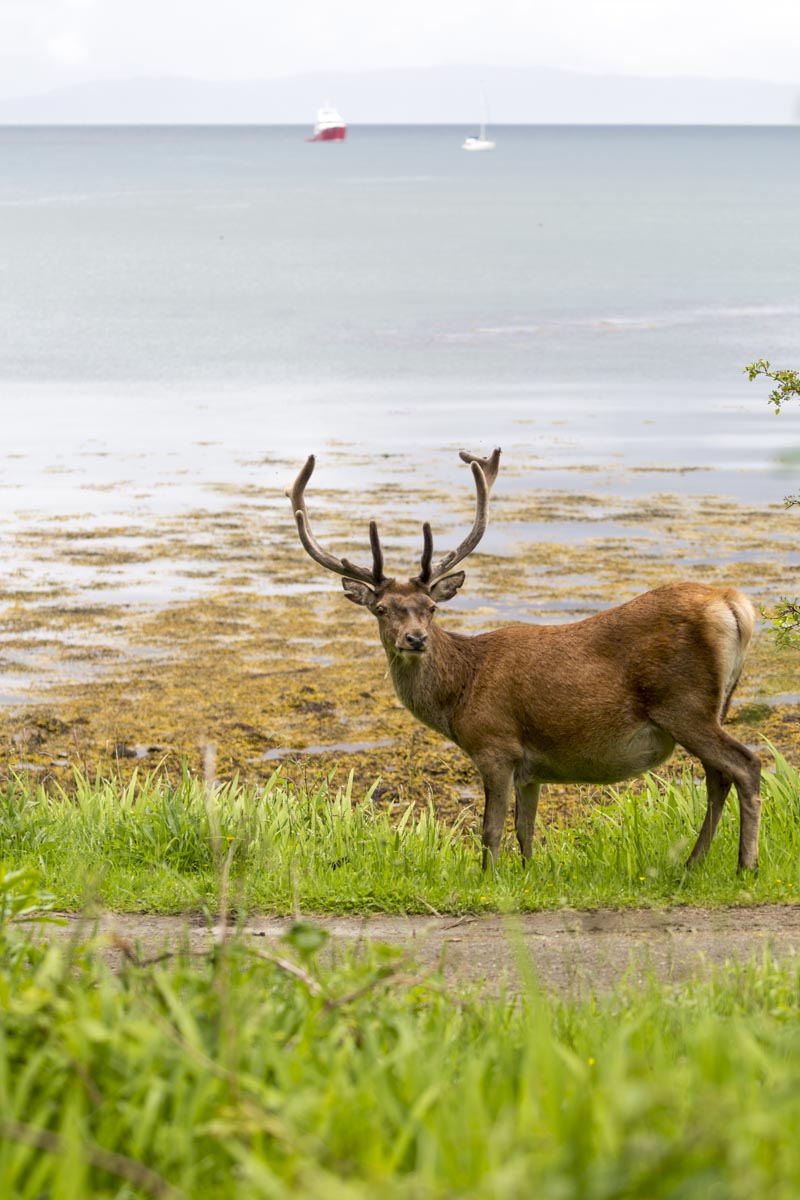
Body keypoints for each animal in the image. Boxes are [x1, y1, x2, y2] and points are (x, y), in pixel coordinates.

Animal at [286, 449, 762, 873]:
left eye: (431, 607)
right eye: (382, 609)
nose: (415, 639)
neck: (460, 695)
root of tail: (734, 603)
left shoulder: (496, 745)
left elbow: (491, 830)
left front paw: (490, 879)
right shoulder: (532, 770)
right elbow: (525, 830)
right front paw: (529, 873)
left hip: (683, 704)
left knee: (746, 765)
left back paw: (745, 865)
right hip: (715, 705)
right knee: (718, 776)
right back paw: (694, 863)